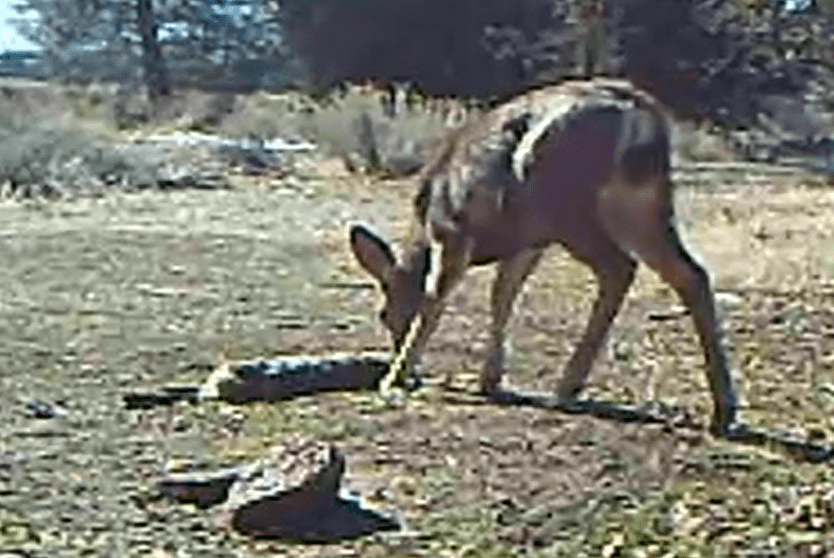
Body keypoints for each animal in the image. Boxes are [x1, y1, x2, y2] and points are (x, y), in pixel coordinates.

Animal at [349, 78, 741, 437]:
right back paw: (722, 411)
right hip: (641, 204)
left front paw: (394, 378)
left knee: (620, 267)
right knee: (691, 274)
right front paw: (490, 378)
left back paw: (567, 386)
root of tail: (642, 116)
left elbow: (435, 299)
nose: (414, 377)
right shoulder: (526, 243)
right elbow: (502, 296)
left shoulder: (454, 230)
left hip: (569, 210)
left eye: (384, 314)